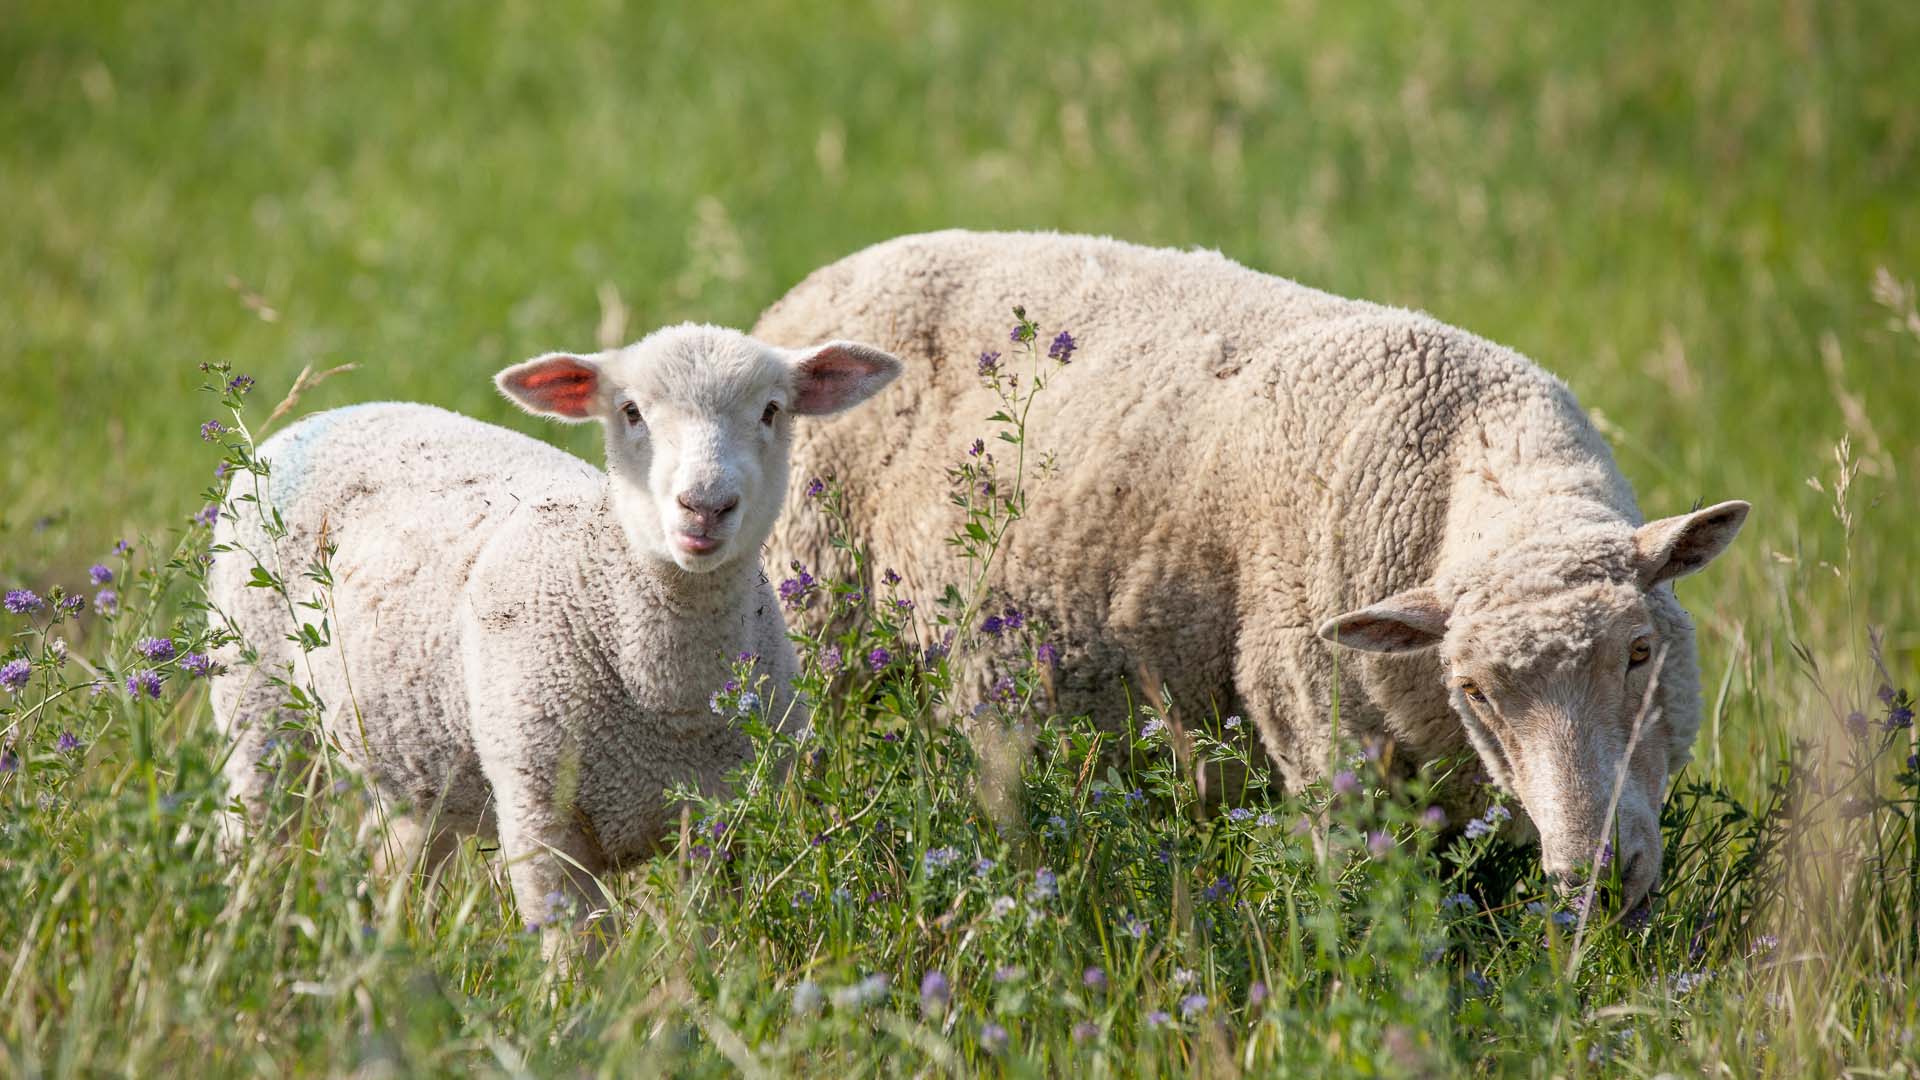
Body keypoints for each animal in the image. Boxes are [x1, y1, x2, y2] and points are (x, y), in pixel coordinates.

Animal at [204, 322, 906, 945]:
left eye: (771, 410)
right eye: (630, 411)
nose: (705, 506)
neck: (666, 696)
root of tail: (342, 410)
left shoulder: (725, 823)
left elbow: (705, 945)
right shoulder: (541, 818)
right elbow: (578, 955)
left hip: (420, 758)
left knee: (398, 865)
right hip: (257, 700)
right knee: (257, 831)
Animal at [756, 228, 1751, 907]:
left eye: (1639, 654)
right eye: (1474, 691)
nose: (1597, 880)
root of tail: (809, 290)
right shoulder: (1326, 757)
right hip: (811, 632)